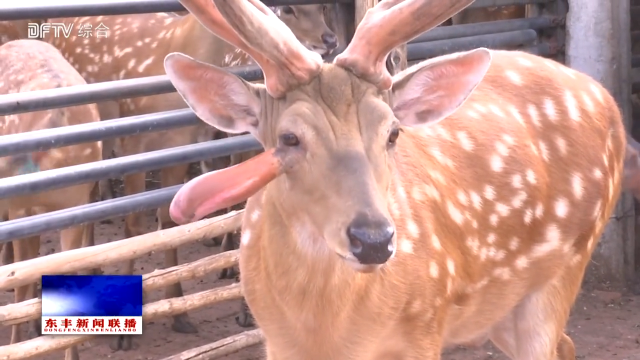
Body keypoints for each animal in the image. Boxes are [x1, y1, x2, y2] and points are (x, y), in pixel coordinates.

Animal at [42, 4, 338, 350]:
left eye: (324, 7)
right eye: (287, 9)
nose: (330, 41)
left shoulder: (181, 147)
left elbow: (170, 226)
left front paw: (180, 313)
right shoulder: (134, 145)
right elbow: (133, 230)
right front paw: (122, 333)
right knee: (86, 200)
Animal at [161, 0, 632, 358]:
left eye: (393, 132)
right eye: (289, 138)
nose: (373, 240)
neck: (326, 333)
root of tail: (608, 99)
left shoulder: (423, 326)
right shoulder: (277, 341)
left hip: (566, 266)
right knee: (566, 345)